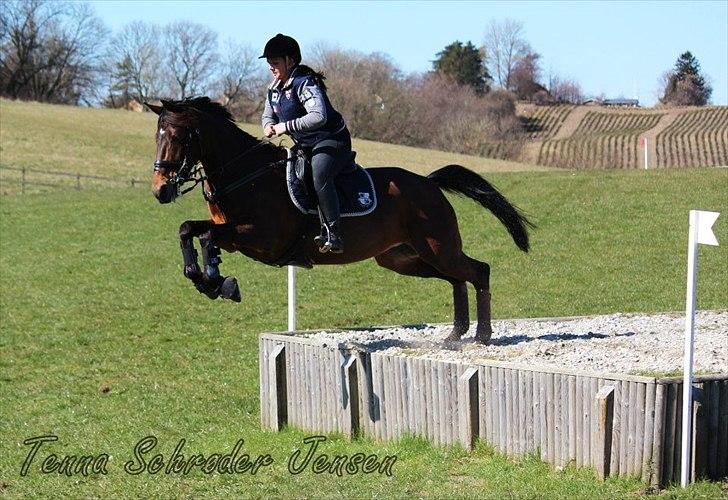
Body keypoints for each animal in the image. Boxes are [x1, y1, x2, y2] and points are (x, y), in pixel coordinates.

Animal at [145, 96, 532, 344]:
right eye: (157, 137)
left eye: (177, 137)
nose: (160, 190)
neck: (245, 175)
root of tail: (429, 183)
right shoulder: (238, 236)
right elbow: (189, 229)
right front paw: (206, 279)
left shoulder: (260, 238)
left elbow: (205, 235)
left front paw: (218, 281)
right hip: (403, 258)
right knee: (457, 278)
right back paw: (456, 334)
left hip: (436, 247)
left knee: (478, 271)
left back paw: (481, 336)